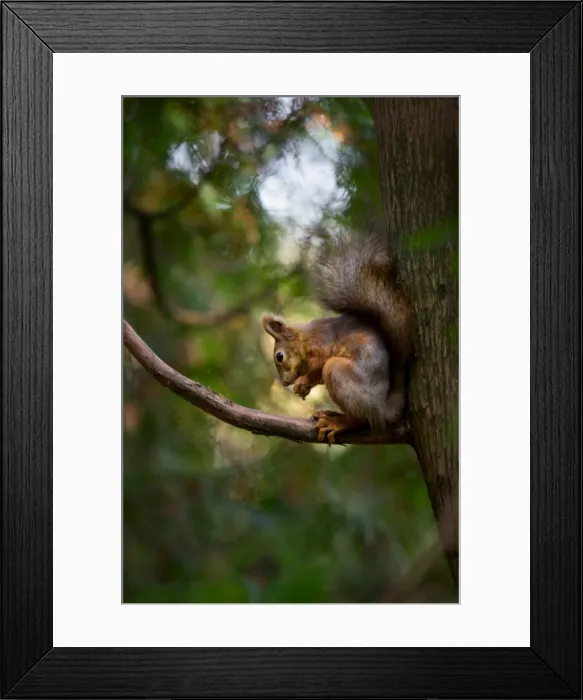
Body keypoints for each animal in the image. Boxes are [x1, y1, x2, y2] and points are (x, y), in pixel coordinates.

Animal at [261, 232, 413, 444]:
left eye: (279, 356)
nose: (285, 383)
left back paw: (338, 423)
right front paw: (303, 386)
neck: (305, 339)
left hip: (338, 372)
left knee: (362, 420)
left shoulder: (322, 345)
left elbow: (319, 366)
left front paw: (302, 381)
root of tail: (382, 408)